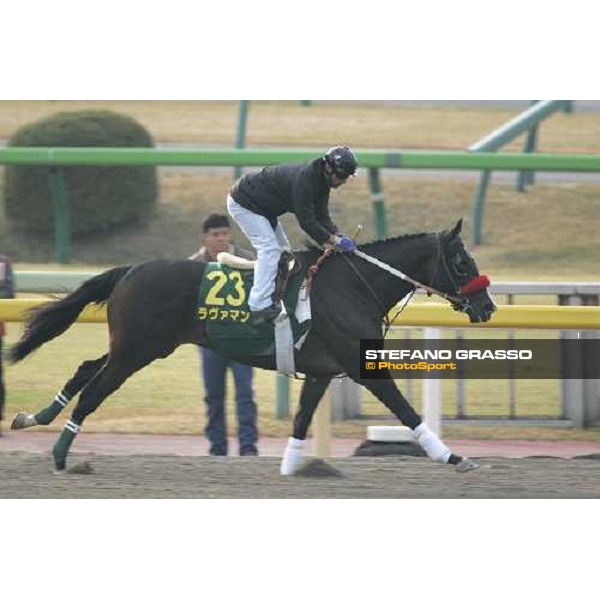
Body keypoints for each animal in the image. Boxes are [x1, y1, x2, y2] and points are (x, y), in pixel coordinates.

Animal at [10, 220, 496, 474]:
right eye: (461, 262)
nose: (487, 306)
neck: (355, 286)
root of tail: (129, 270)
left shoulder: (321, 370)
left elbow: (301, 418)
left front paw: (293, 466)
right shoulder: (361, 366)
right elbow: (406, 411)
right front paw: (454, 457)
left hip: (137, 347)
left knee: (85, 367)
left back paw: (32, 417)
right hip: (137, 351)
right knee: (94, 389)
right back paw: (60, 455)